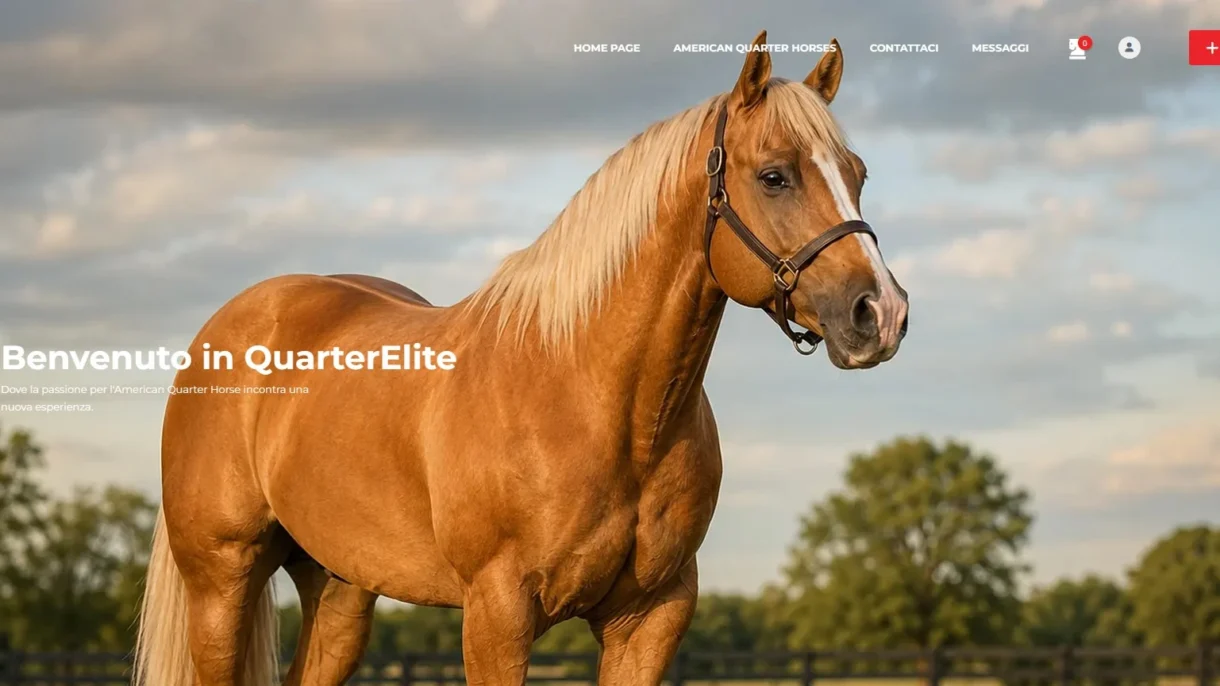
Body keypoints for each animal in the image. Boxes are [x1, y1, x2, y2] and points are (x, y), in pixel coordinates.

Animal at [133, 30, 908, 686]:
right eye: (775, 176)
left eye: (859, 173)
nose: (881, 313)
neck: (592, 397)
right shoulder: (497, 613)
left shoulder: (651, 618)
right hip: (222, 582)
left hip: (339, 588)